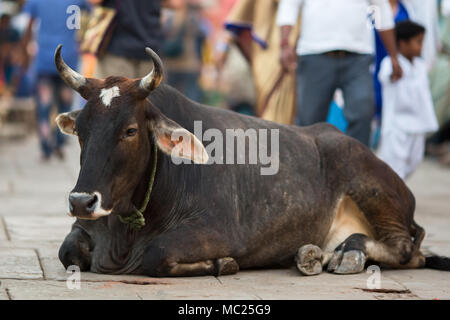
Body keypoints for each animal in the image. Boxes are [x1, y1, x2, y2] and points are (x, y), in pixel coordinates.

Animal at [54, 45, 448, 278]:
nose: (81, 201)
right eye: (82, 129)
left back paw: (348, 254)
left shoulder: (215, 230)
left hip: (373, 189)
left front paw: (223, 263)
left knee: (407, 249)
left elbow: (156, 254)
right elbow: (67, 251)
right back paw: (313, 255)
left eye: (131, 130)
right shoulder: (84, 231)